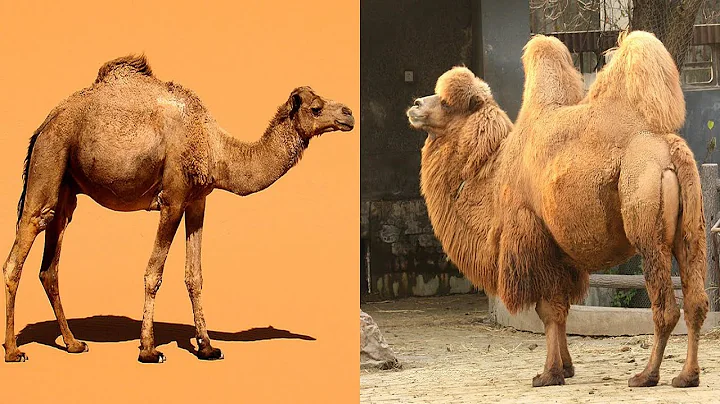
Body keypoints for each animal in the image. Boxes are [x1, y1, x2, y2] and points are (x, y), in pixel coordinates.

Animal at [2, 54, 354, 363]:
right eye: (316, 107)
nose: (349, 113)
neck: (216, 148)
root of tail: (42, 126)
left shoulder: (197, 200)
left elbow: (194, 275)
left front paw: (208, 347)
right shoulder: (171, 199)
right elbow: (153, 273)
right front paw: (148, 350)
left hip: (66, 189)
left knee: (50, 265)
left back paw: (74, 344)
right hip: (49, 161)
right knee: (20, 249)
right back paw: (14, 351)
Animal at [406, 31, 708, 388]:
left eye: (447, 103)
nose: (415, 105)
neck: (493, 176)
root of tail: (670, 150)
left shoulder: (533, 238)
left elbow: (548, 312)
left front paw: (548, 374)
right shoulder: (562, 254)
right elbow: (561, 312)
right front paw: (565, 367)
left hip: (647, 223)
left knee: (666, 307)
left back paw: (646, 375)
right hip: (691, 231)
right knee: (696, 302)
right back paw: (686, 376)